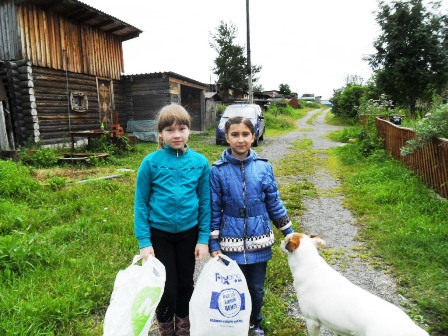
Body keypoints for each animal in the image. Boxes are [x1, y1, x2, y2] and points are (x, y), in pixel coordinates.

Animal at [280, 232, 430, 336]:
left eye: (286, 239)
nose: (281, 241)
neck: (309, 264)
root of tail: (409, 328)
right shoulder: (340, 329)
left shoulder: (312, 321)